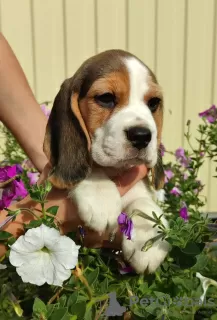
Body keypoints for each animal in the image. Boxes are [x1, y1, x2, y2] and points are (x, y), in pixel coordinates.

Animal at [43, 49, 170, 272]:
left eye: (154, 103)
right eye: (106, 98)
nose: (142, 136)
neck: (114, 170)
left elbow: (143, 201)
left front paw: (149, 243)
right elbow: (89, 166)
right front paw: (101, 197)